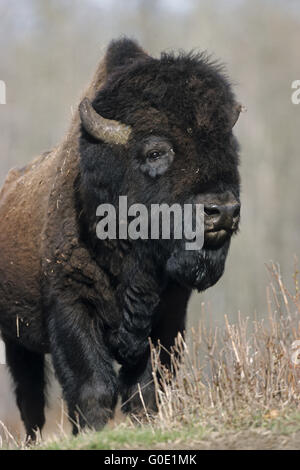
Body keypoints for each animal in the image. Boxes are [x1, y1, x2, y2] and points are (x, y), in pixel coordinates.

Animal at [0, 37, 241, 440]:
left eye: (229, 148)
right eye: (156, 151)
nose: (222, 211)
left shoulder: (167, 315)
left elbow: (147, 385)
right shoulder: (72, 307)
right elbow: (93, 386)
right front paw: (92, 431)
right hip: (15, 338)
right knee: (29, 396)